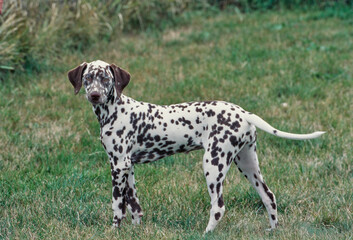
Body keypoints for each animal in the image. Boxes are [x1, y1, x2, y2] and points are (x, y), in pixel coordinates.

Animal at [67, 60, 324, 232]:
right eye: (88, 78)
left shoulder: (118, 166)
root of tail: (243, 112)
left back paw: (206, 233)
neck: (115, 111)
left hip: (213, 165)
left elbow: (117, 206)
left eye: (105, 79)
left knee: (219, 207)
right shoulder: (127, 167)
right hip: (248, 165)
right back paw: (272, 230)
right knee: (269, 196)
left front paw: (114, 231)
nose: (94, 95)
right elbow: (134, 205)